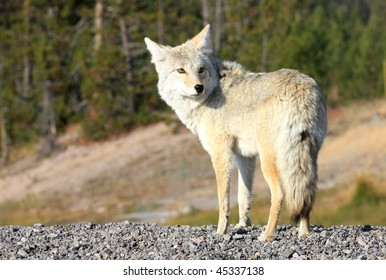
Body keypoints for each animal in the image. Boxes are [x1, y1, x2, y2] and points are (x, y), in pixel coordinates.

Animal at [143, 24, 328, 241]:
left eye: (200, 69)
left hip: (270, 162)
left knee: (280, 194)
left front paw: (221, 231)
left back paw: (267, 235)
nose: (198, 87)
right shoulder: (244, 156)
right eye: (181, 70)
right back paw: (304, 233)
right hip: (307, 159)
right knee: (307, 194)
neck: (210, 95)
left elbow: (223, 199)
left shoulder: (220, 153)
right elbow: (243, 196)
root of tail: (302, 90)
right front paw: (243, 225)